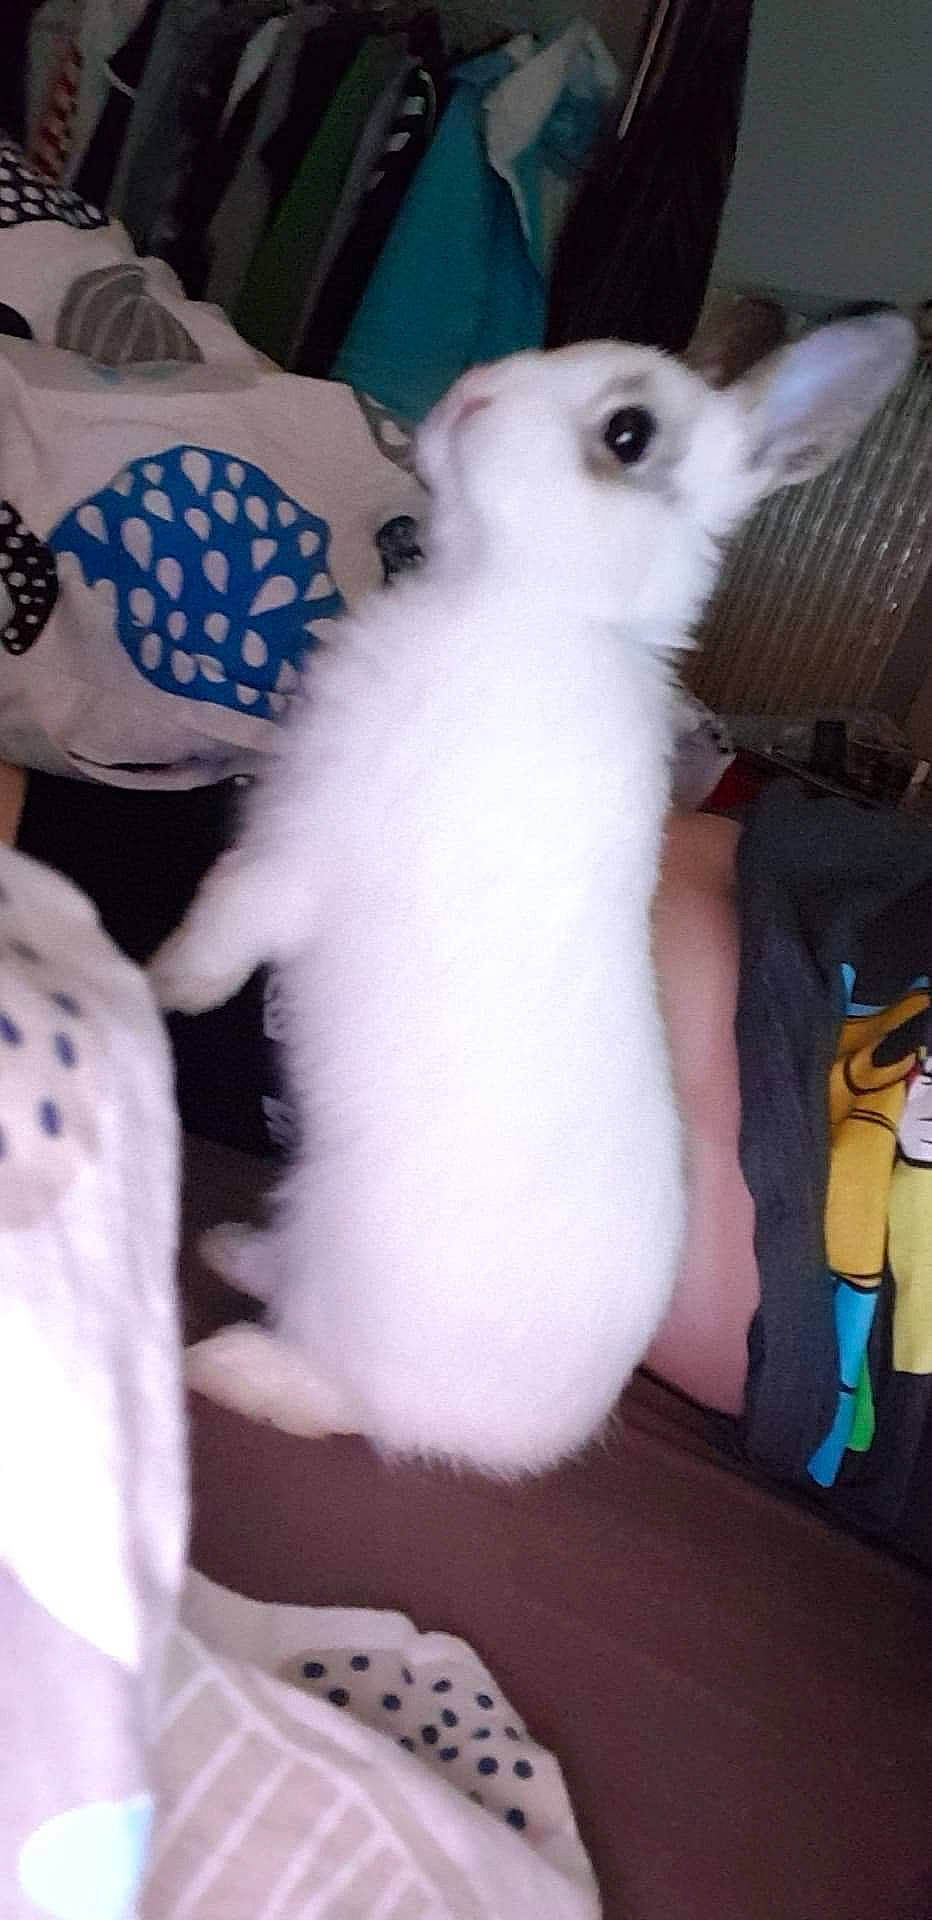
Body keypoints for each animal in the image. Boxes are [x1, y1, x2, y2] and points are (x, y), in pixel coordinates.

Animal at [150, 313, 915, 1475]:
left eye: (628, 431)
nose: (470, 397)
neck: (532, 606)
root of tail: (539, 1437)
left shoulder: (308, 842)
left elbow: (229, 906)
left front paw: (163, 986)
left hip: (354, 1296)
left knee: (352, 1401)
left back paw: (234, 1364)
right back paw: (236, 1250)